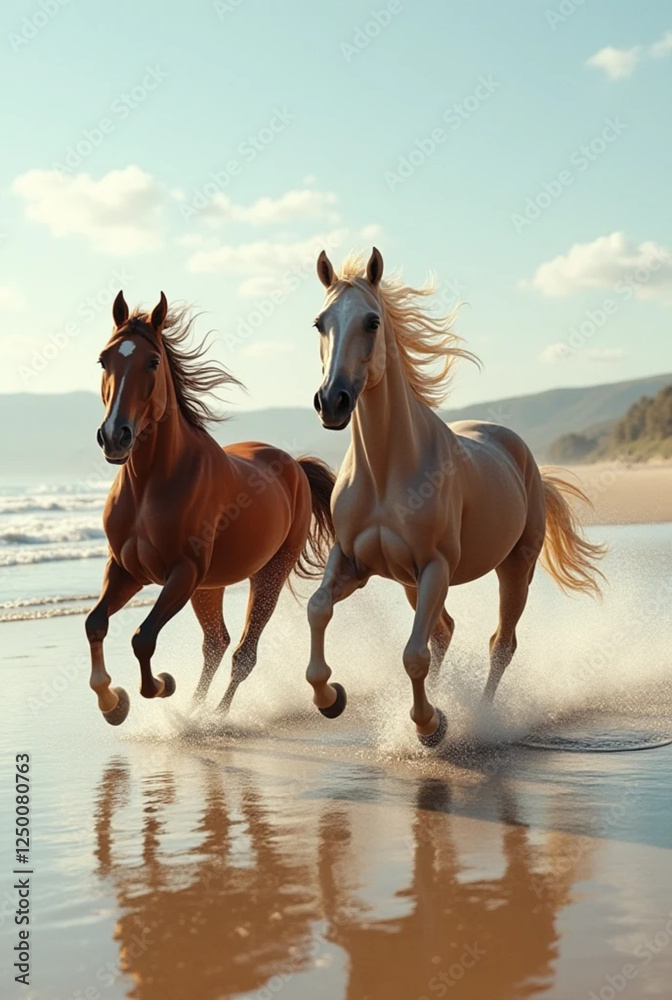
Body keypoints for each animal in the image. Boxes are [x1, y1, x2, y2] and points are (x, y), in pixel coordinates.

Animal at [86, 291, 335, 725]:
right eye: (104, 359)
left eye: (152, 362)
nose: (115, 437)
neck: (150, 484)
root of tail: (294, 465)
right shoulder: (126, 571)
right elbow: (95, 624)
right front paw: (113, 703)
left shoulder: (182, 573)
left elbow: (142, 638)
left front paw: (161, 685)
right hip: (210, 586)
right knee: (217, 642)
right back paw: (195, 711)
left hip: (268, 573)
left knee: (243, 653)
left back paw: (215, 717)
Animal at [305, 248, 606, 746]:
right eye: (319, 323)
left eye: (371, 321)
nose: (333, 401)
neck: (386, 472)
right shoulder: (352, 562)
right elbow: (318, 609)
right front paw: (331, 698)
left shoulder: (435, 567)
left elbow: (413, 655)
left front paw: (432, 725)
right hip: (409, 581)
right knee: (444, 631)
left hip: (514, 569)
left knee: (500, 643)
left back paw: (480, 717)